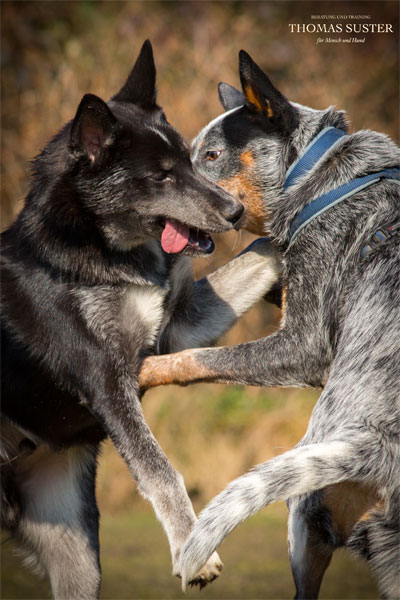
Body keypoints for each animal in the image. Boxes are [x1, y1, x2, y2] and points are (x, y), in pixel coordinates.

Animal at [141, 50, 400, 600]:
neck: (321, 175)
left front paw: (146, 371)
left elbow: (200, 357)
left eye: (211, 155)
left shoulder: (302, 345)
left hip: (302, 506)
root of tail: (380, 447)